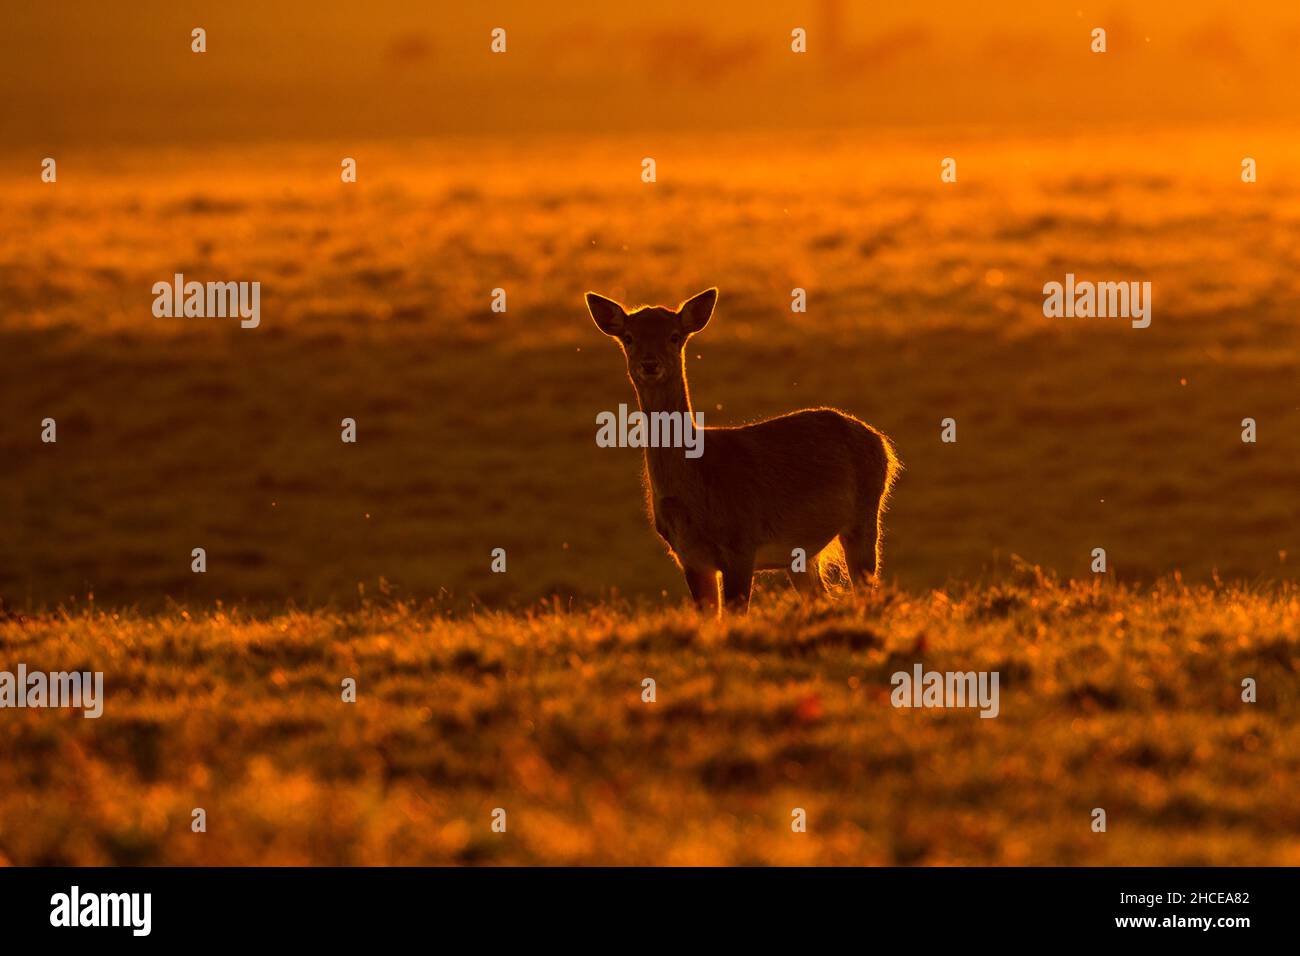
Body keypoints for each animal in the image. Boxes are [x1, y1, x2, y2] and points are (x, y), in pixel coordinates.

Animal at [587, 283, 899, 616]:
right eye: (629, 337)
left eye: (674, 335)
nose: (649, 364)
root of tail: (883, 444)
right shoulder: (688, 556)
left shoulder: (741, 544)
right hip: (802, 554)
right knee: (821, 595)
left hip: (865, 515)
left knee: (867, 588)